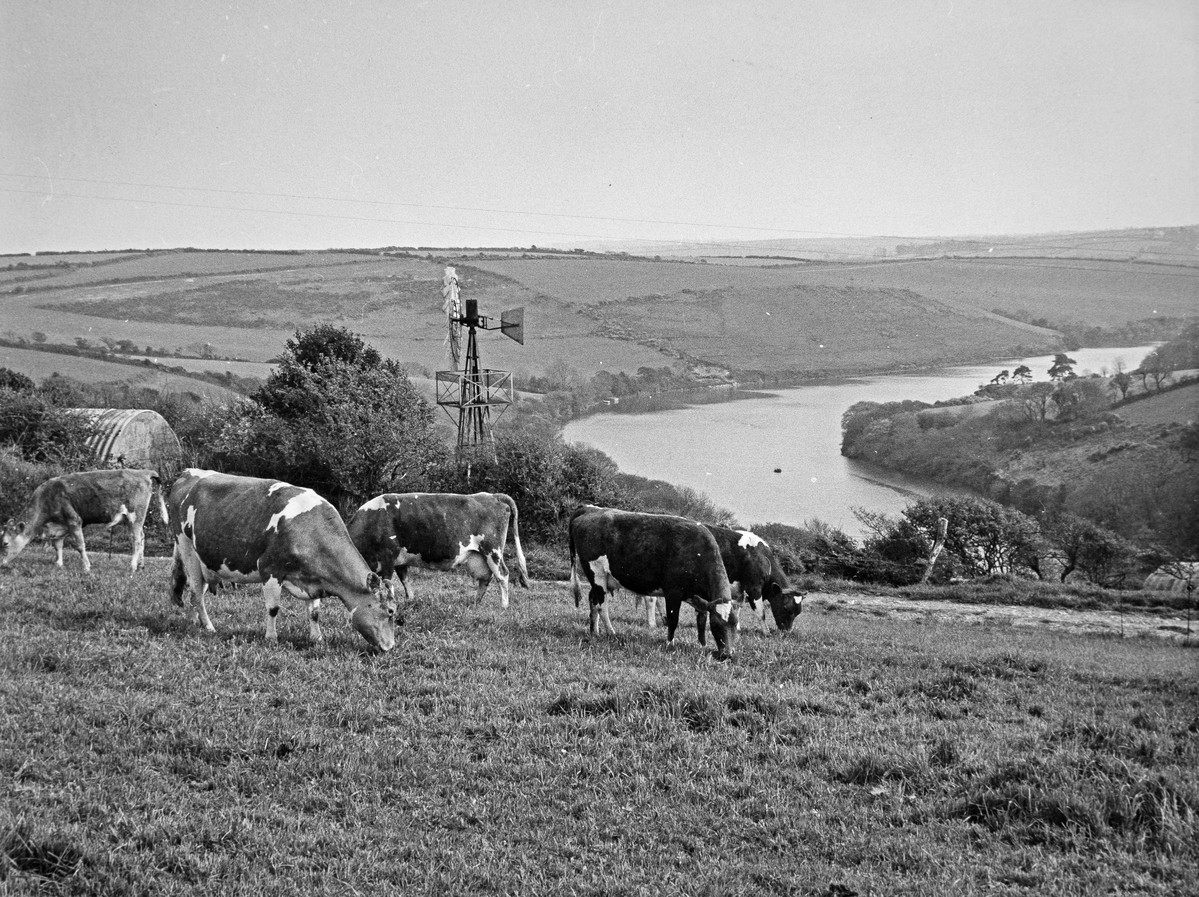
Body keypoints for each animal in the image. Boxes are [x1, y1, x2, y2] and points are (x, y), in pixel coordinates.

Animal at [0, 465, 166, 570]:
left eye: (5, 543)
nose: (1, 564)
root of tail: (143, 472)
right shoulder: (61, 526)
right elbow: (58, 545)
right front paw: (59, 564)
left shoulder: (74, 520)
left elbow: (80, 545)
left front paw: (86, 566)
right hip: (134, 519)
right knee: (142, 537)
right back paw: (141, 565)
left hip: (135, 516)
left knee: (136, 540)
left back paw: (132, 566)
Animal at [167, 470, 398, 652]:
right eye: (390, 611)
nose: (390, 647)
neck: (310, 531)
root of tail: (189, 473)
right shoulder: (270, 570)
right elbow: (273, 608)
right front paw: (271, 638)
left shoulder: (314, 580)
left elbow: (314, 613)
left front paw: (317, 638)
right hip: (187, 550)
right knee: (197, 593)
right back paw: (208, 627)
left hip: (205, 564)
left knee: (193, 592)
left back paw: (193, 622)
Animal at [350, 491, 532, 609]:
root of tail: (493, 496)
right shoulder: (399, 561)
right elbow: (405, 581)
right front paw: (410, 602)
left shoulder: (388, 557)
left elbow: (389, 585)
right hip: (480, 556)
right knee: (485, 578)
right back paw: (475, 604)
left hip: (492, 550)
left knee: (502, 575)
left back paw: (504, 606)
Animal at [565, 503, 733, 657]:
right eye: (717, 625)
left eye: (735, 625)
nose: (728, 654)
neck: (697, 551)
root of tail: (589, 508)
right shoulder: (673, 592)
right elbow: (673, 619)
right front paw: (670, 644)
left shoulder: (698, 598)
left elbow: (701, 620)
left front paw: (702, 645)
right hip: (597, 573)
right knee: (601, 605)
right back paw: (612, 633)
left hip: (599, 579)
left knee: (592, 600)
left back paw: (595, 632)